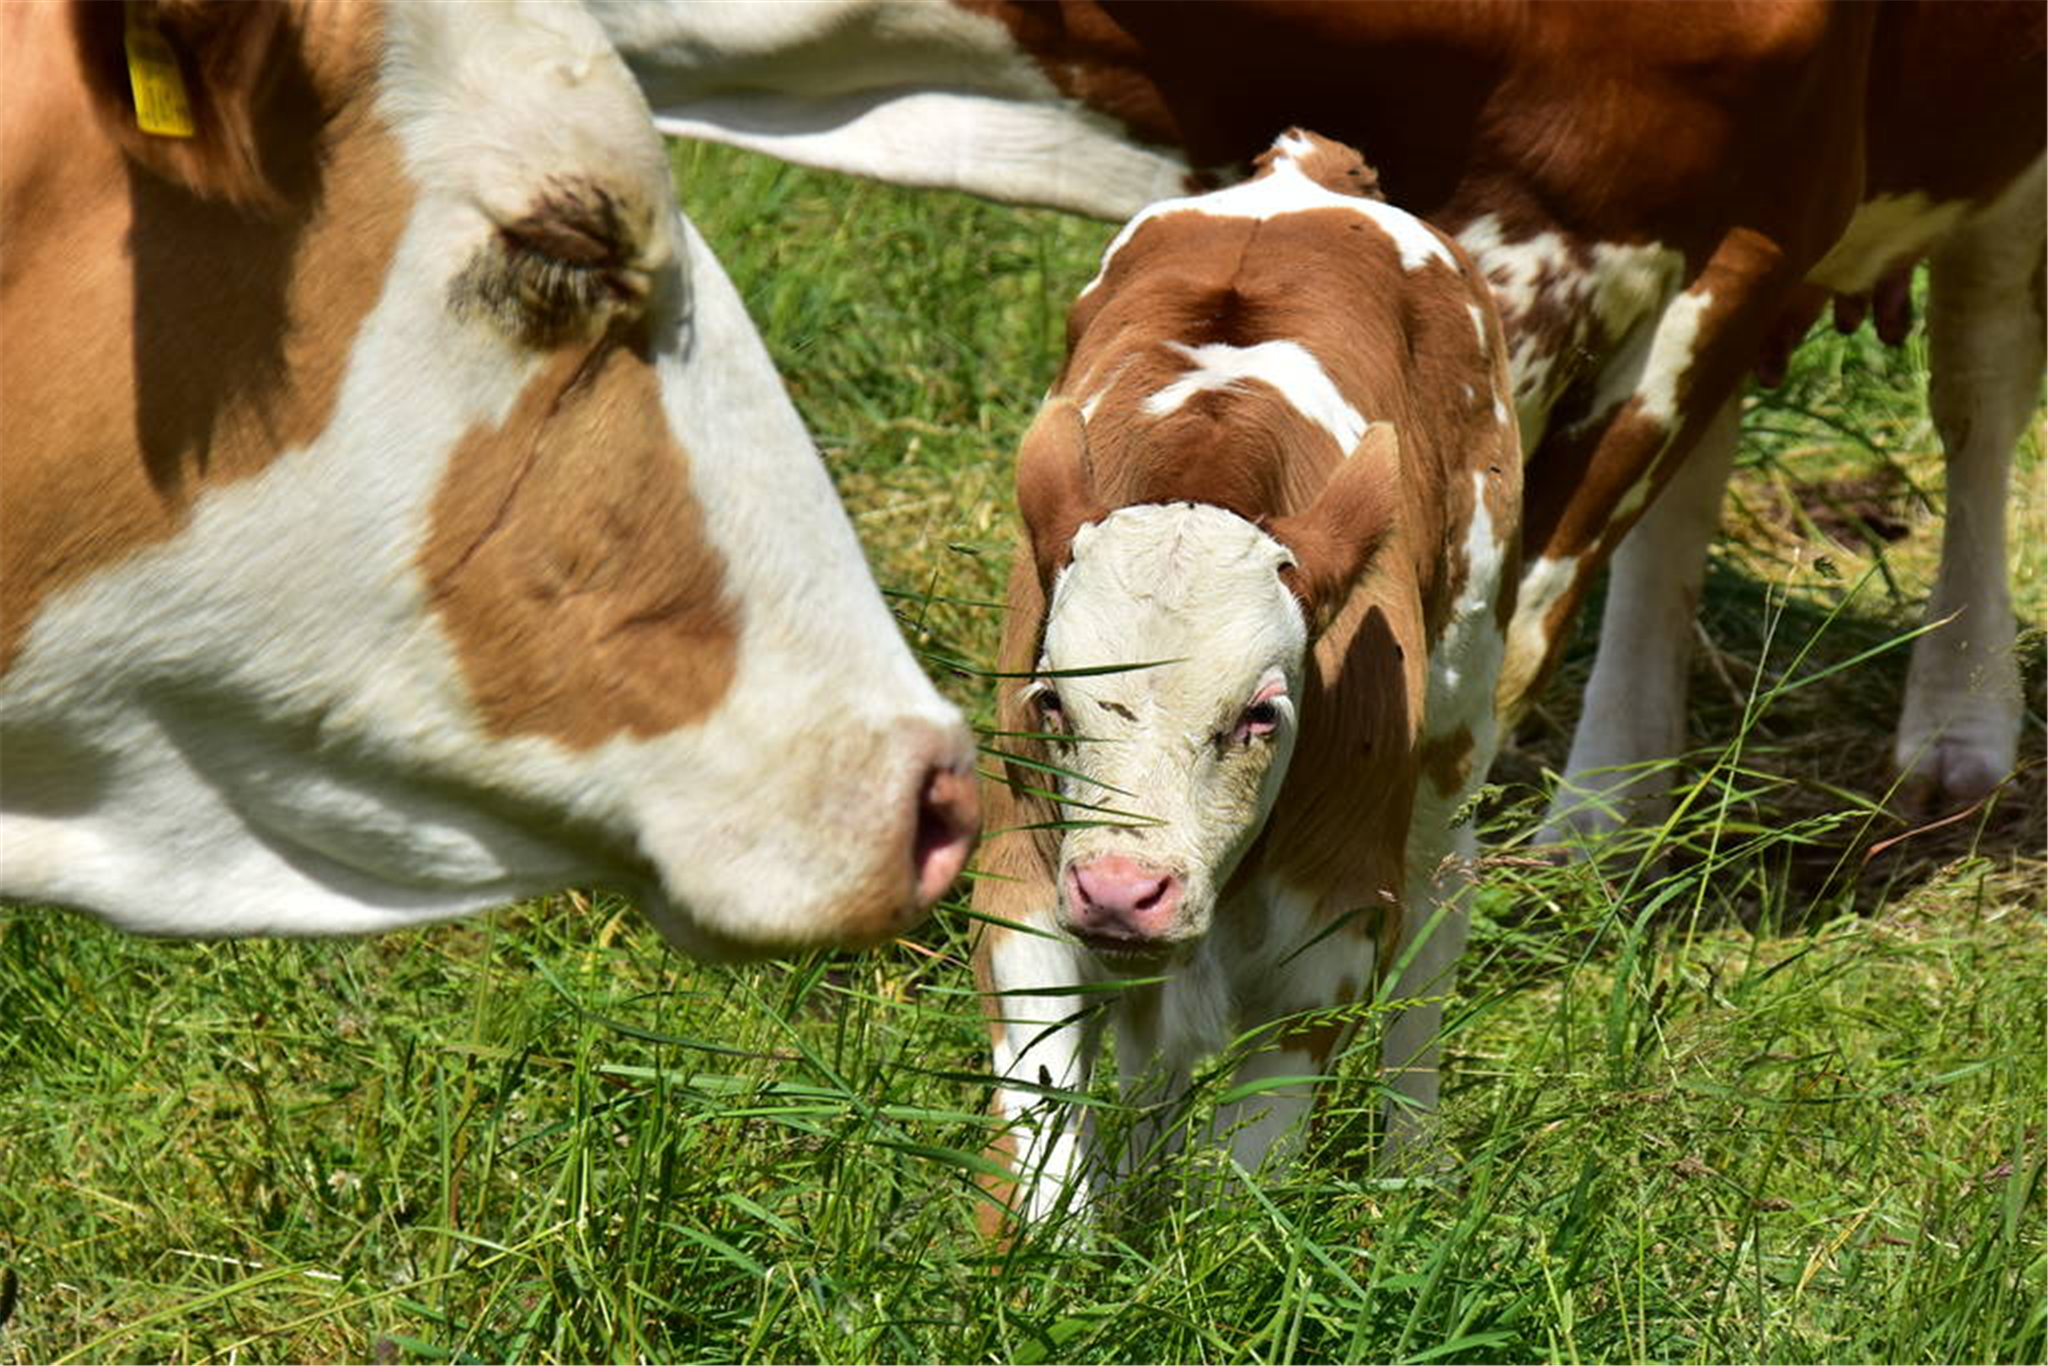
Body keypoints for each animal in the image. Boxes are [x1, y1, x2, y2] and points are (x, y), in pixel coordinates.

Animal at [962, 133, 1523, 1220]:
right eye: (1050, 699)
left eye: (1260, 715)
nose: (1121, 892)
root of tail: (1306, 173)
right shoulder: (1025, 888)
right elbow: (1045, 1143)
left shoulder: (1328, 929)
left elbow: (1245, 1172)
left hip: (1457, 716)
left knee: (1437, 921)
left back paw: (1414, 1162)